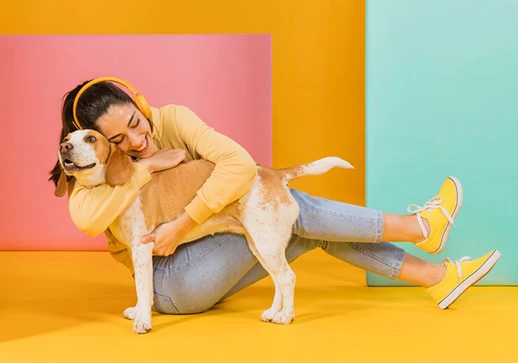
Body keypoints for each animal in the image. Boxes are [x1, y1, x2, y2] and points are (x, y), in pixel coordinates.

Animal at [54, 130, 354, 336]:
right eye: (67, 137)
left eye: (91, 138)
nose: (63, 146)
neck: (115, 187)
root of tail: (273, 173)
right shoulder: (138, 253)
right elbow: (143, 289)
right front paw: (140, 310)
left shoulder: (142, 248)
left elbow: (143, 287)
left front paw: (143, 321)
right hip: (260, 246)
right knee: (280, 280)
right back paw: (273, 312)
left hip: (267, 245)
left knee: (288, 278)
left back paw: (286, 316)